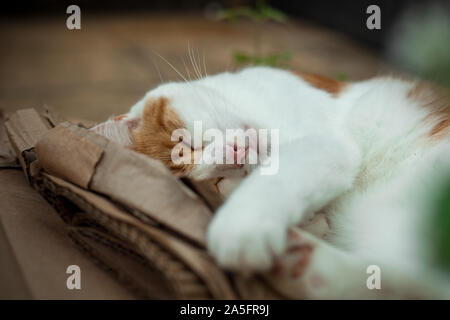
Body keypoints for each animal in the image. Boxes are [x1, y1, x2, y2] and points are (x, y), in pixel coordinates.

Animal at [91, 66, 450, 298]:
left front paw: (241, 227)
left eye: (186, 144)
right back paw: (300, 264)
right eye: (218, 182)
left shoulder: (324, 139)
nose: (234, 156)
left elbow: (279, 175)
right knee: (418, 281)